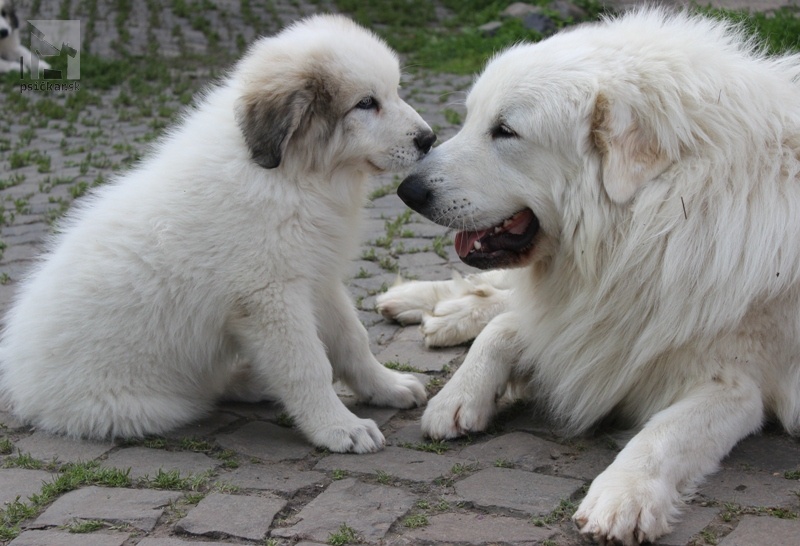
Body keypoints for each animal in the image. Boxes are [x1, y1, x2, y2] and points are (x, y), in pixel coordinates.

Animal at [0, 14, 434, 452]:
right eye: (366, 103)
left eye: (394, 91)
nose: (429, 139)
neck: (295, 175)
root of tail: (18, 383)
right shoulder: (270, 298)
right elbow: (308, 364)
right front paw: (339, 427)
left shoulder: (318, 278)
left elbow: (352, 339)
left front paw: (386, 386)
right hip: (143, 407)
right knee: (203, 395)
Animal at [378, 9, 800, 544]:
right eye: (471, 119)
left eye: (505, 131)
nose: (407, 192)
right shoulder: (583, 311)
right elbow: (506, 329)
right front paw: (460, 394)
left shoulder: (735, 386)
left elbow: (665, 433)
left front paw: (624, 495)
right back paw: (424, 303)